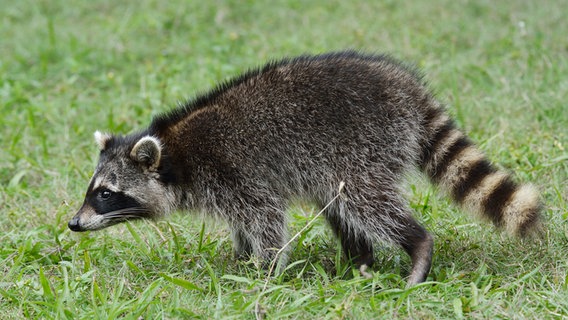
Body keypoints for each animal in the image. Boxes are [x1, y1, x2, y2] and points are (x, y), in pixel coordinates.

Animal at [69, 52, 544, 284]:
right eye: (94, 188)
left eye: (106, 193)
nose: (73, 223)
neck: (175, 155)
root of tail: (407, 88)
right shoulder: (226, 185)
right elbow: (245, 225)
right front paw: (240, 259)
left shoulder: (235, 173)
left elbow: (266, 219)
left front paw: (263, 271)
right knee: (339, 206)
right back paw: (358, 261)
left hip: (364, 144)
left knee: (366, 203)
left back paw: (417, 247)